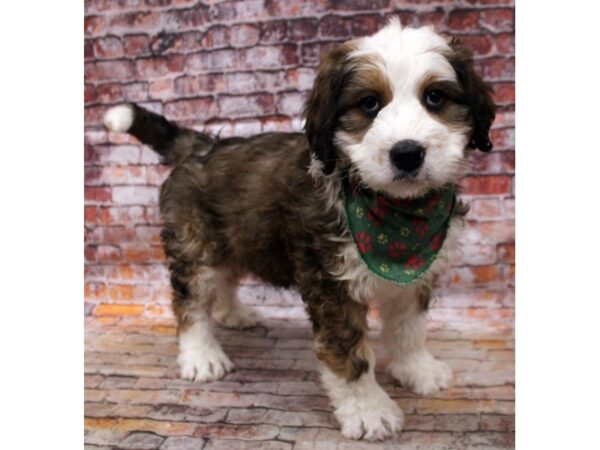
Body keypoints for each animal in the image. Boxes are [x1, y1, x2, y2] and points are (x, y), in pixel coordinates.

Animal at [104, 19, 496, 442]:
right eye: (369, 103)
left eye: (435, 97)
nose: (407, 153)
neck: (397, 216)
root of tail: (201, 146)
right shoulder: (331, 284)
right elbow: (349, 353)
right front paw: (368, 410)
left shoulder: (414, 274)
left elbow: (410, 327)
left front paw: (417, 369)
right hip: (195, 245)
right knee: (190, 300)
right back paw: (201, 355)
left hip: (237, 235)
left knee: (225, 279)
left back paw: (233, 314)